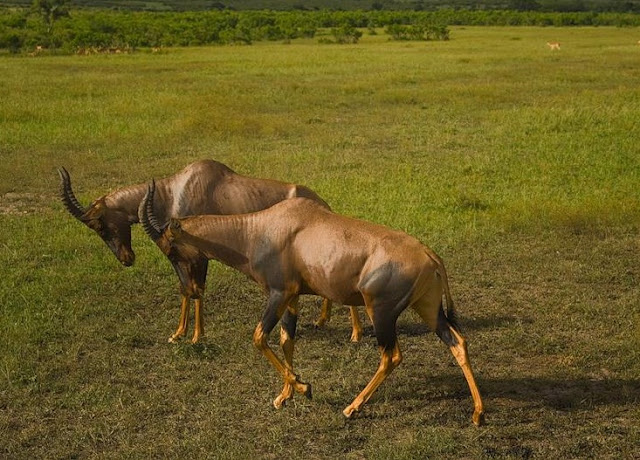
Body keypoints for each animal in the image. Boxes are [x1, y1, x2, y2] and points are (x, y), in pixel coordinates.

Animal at [57, 160, 362, 344]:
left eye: (99, 224)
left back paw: (352, 333)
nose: (126, 259)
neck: (174, 190)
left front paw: (196, 336)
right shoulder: (180, 256)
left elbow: (197, 290)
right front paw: (177, 334)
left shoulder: (198, 254)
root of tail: (323, 204)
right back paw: (322, 321)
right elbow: (185, 289)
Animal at [141, 181, 484, 426]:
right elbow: (286, 340)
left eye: (171, 247)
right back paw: (478, 414)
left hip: (381, 313)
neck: (261, 228)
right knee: (457, 342)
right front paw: (284, 396)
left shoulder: (278, 293)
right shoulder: (292, 297)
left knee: (392, 356)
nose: (191, 289)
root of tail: (430, 255)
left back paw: (351, 408)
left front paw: (304, 388)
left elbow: (259, 337)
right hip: (427, 309)